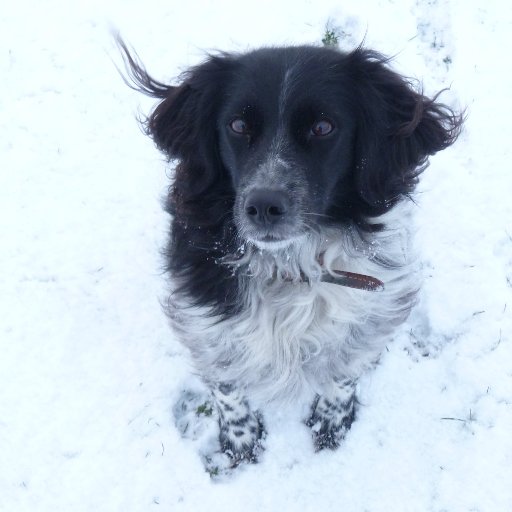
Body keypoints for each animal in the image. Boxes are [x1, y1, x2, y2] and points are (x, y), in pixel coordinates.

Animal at [118, 39, 462, 464]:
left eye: (323, 127)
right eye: (238, 126)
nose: (264, 205)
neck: (290, 265)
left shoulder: (372, 307)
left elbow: (345, 371)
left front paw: (332, 420)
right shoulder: (206, 319)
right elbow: (226, 383)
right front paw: (241, 438)